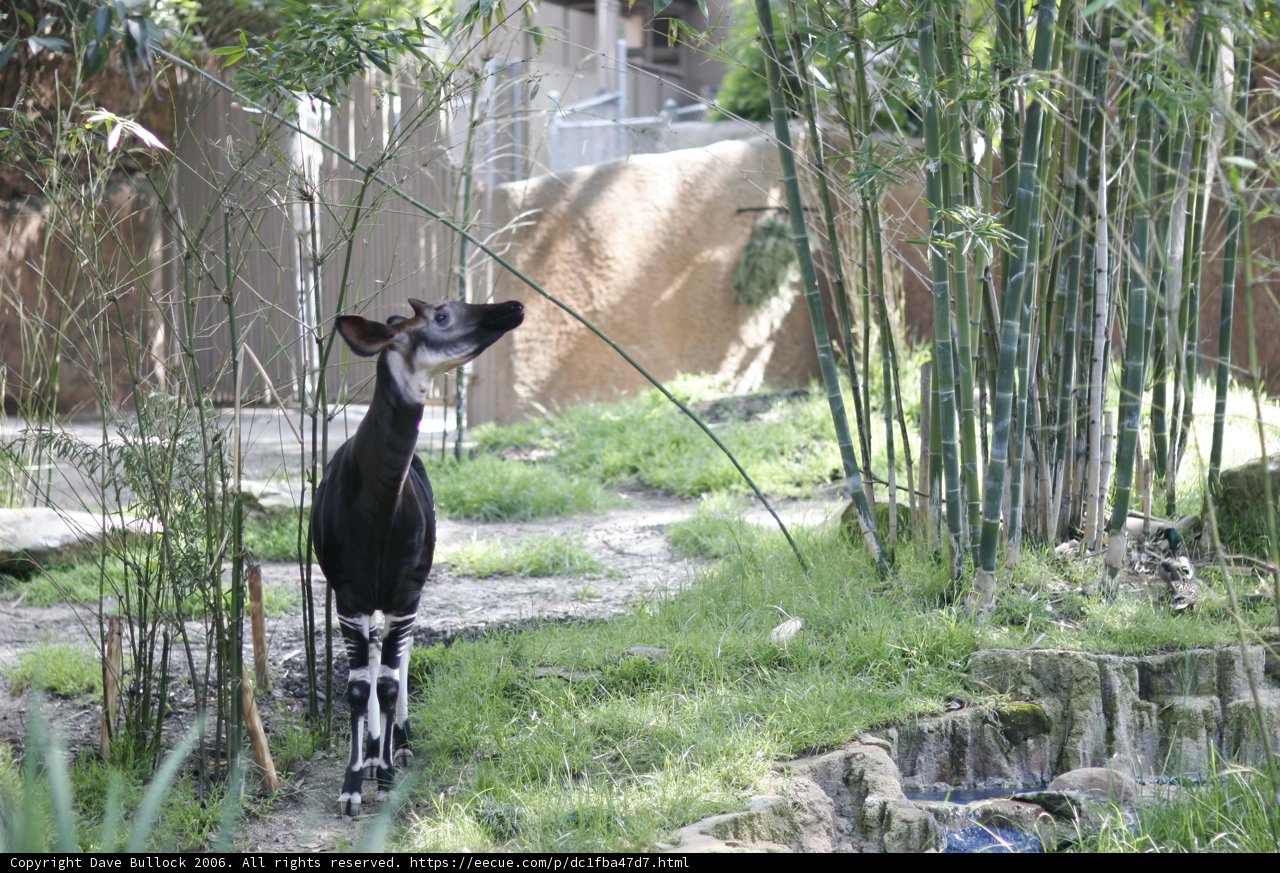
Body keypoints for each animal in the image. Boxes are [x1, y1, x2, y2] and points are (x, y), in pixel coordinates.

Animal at [311, 297, 524, 816]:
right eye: (442, 315)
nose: (513, 306)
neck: (378, 503)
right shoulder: (349, 595)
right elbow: (358, 687)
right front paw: (353, 784)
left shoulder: (405, 592)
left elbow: (389, 681)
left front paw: (386, 777)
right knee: (374, 653)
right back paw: (371, 751)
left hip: (408, 594)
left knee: (399, 658)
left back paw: (396, 746)